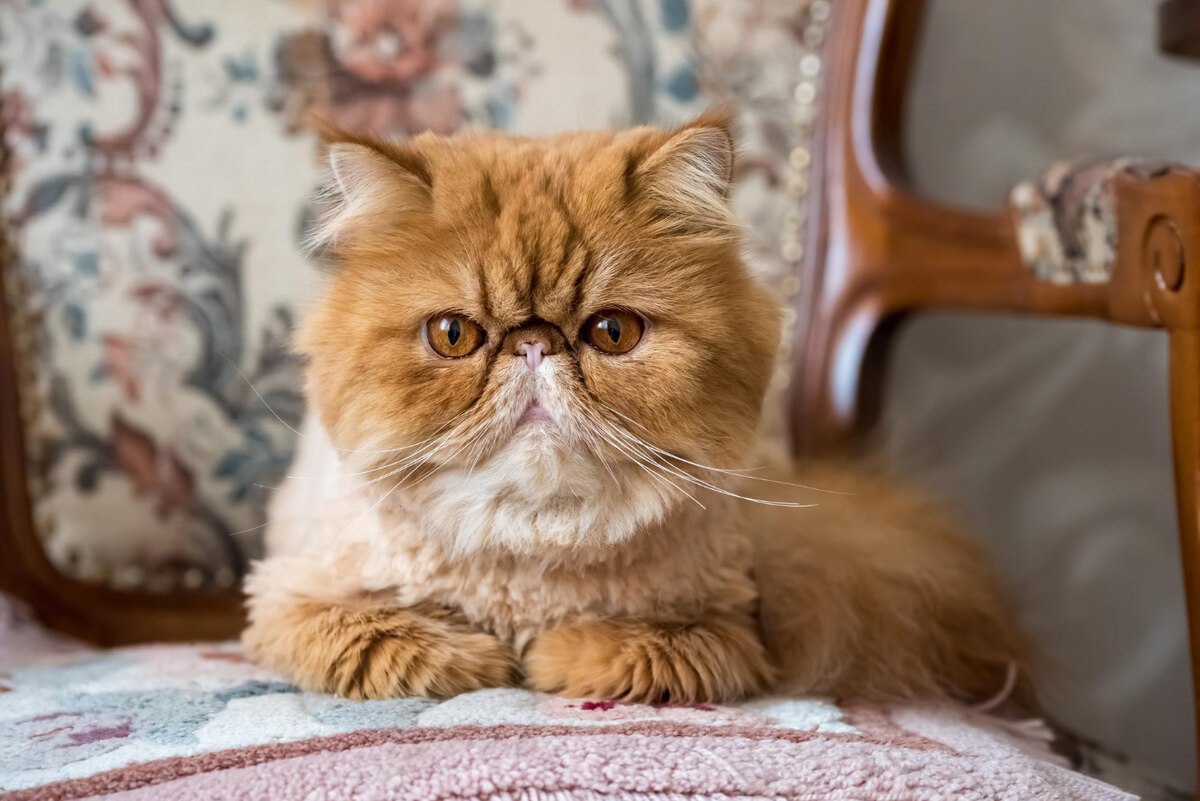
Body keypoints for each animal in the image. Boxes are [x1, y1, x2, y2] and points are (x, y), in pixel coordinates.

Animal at [241, 109, 1022, 705]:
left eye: (612, 333)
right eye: (453, 335)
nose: (533, 345)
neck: (531, 565)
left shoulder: (722, 624)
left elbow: (633, 649)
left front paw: (548, 656)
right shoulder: (289, 596)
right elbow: (386, 636)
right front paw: (484, 656)